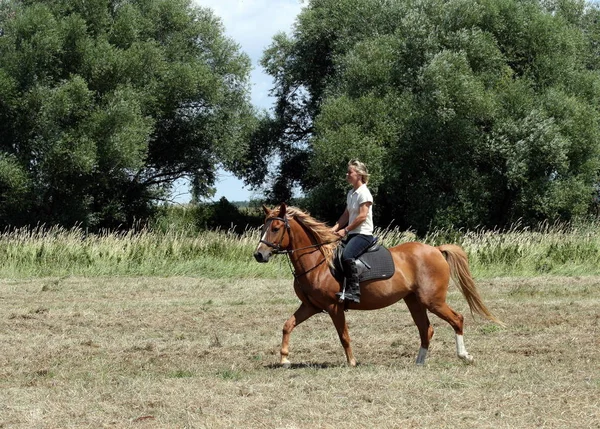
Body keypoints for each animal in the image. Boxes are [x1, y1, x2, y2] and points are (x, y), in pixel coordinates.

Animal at [253, 202, 502, 366]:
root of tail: (436, 250)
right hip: (414, 301)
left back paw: (464, 355)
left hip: (432, 300)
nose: (259, 255)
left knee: (456, 319)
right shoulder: (311, 306)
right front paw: (284, 358)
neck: (318, 261)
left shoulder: (334, 307)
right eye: (263, 227)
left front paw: (352, 362)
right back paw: (419, 362)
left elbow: (344, 336)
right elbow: (287, 325)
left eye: (275, 228)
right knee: (426, 329)